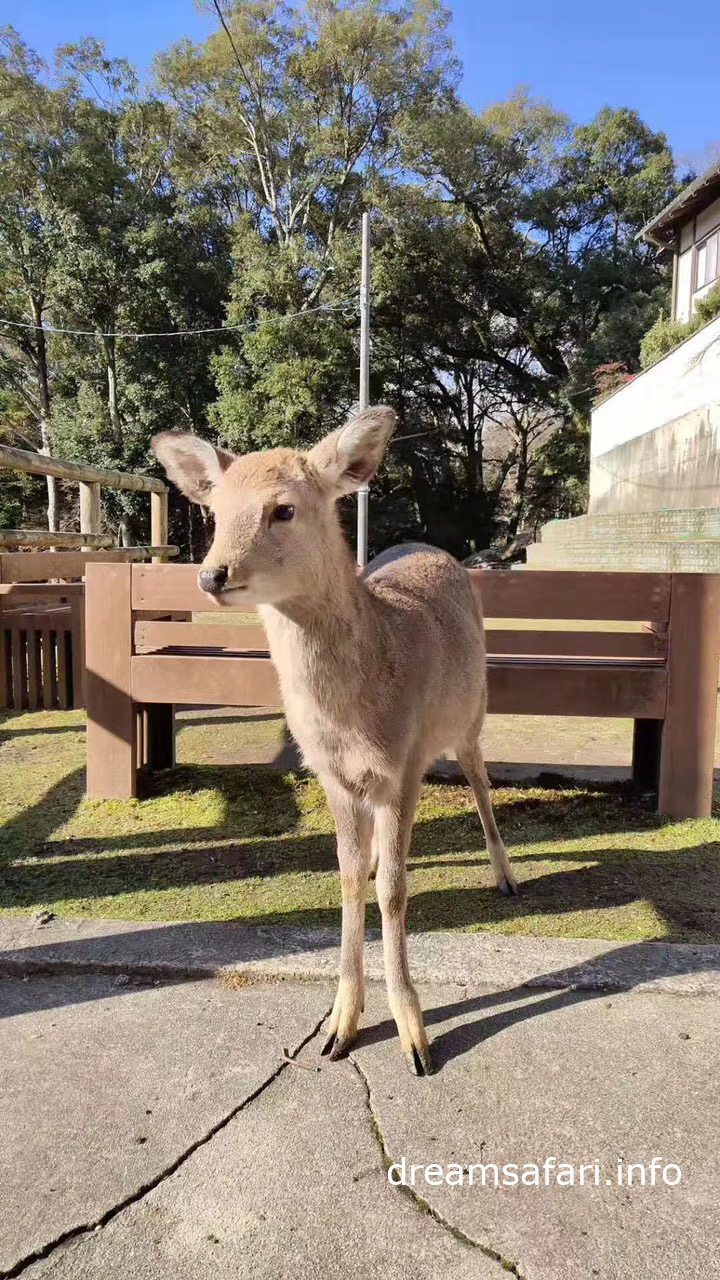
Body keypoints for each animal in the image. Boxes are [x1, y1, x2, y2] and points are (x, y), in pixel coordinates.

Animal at [151, 404, 512, 1075]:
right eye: (216, 510)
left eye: (284, 509)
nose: (212, 574)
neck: (356, 719)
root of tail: (428, 545)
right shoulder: (330, 774)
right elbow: (345, 878)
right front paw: (339, 1028)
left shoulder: (403, 764)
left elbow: (396, 892)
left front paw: (416, 1040)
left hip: (473, 712)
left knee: (479, 778)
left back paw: (505, 875)